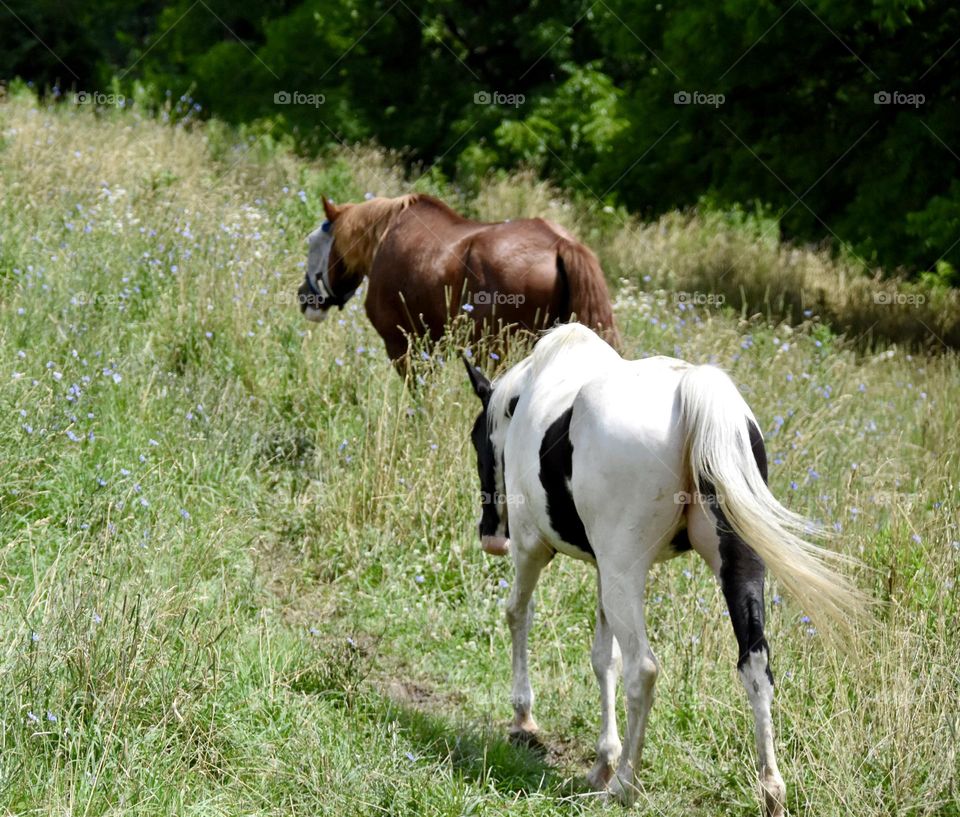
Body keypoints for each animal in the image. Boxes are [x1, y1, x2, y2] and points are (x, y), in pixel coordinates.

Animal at [464, 326, 864, 816]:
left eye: (477, 441)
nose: (489, 536)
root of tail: (695, 390)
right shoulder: (604, 569)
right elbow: (604, 659)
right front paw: (602, 761)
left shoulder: (531, 547)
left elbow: (519, 613)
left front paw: (525, 718)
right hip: (733, 565)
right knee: (755, 663)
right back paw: (770, 789)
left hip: (619, 570)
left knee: (644, 669)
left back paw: (626, 785)